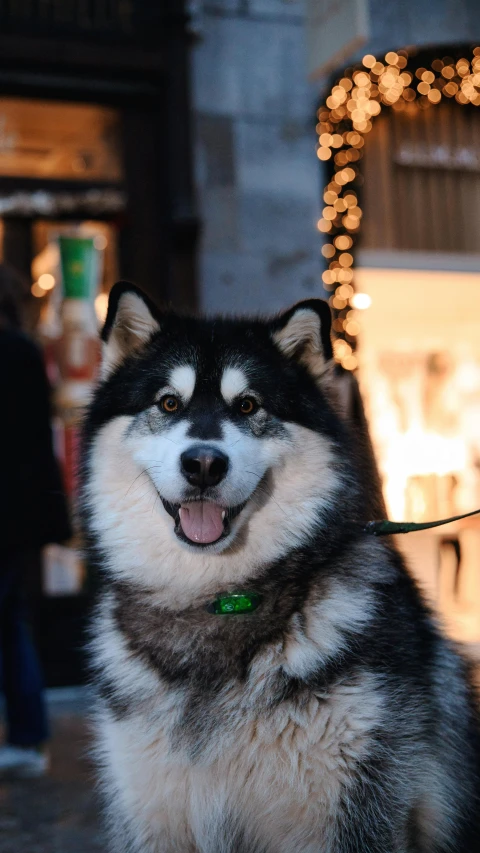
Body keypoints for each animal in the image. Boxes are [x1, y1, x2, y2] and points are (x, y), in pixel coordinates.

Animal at [82, 282, 480, 848]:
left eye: (248, 405)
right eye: (169, 402)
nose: (203, 463)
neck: (217, 600)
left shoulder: (358, 811)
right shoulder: (148, 812)